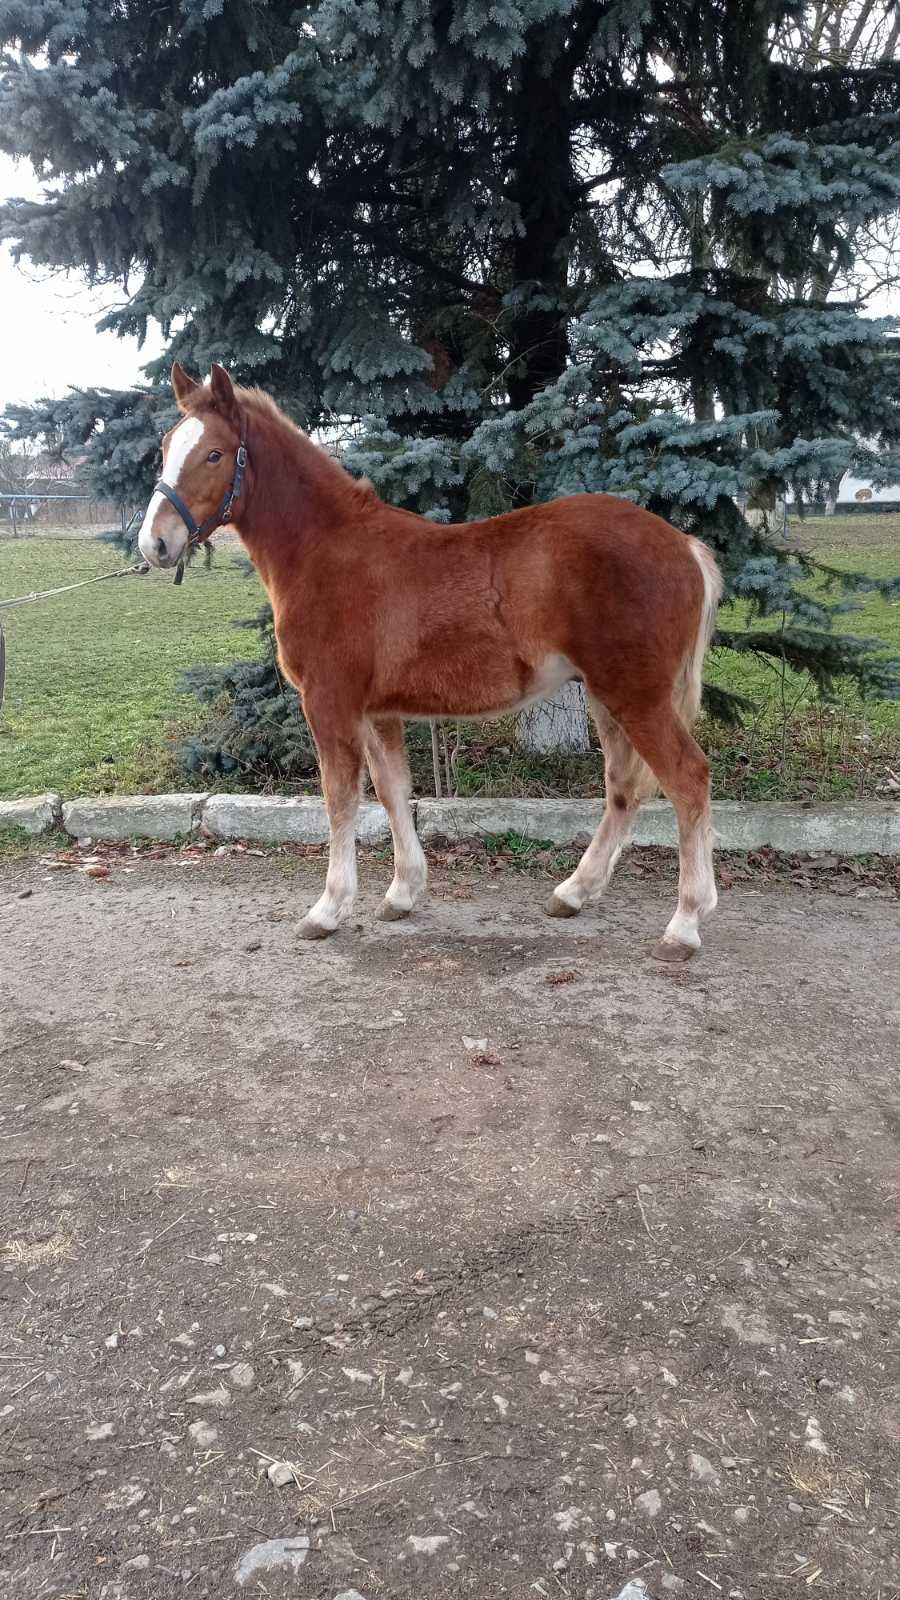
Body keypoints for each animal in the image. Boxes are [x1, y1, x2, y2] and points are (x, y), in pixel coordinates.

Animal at [140, 366, 720, 960]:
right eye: (164, 449)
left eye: (214, 454)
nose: (154, 543)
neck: (325, 551)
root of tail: (685, 545)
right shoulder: (378, 712)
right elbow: (393, 792)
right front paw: (401, 894)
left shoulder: (329, 704)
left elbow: (340, 799)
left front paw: (328, 909)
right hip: (608, 696)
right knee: (623, 786)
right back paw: (574, 893)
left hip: (636, 696)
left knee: (687, 779)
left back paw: (684, 924)